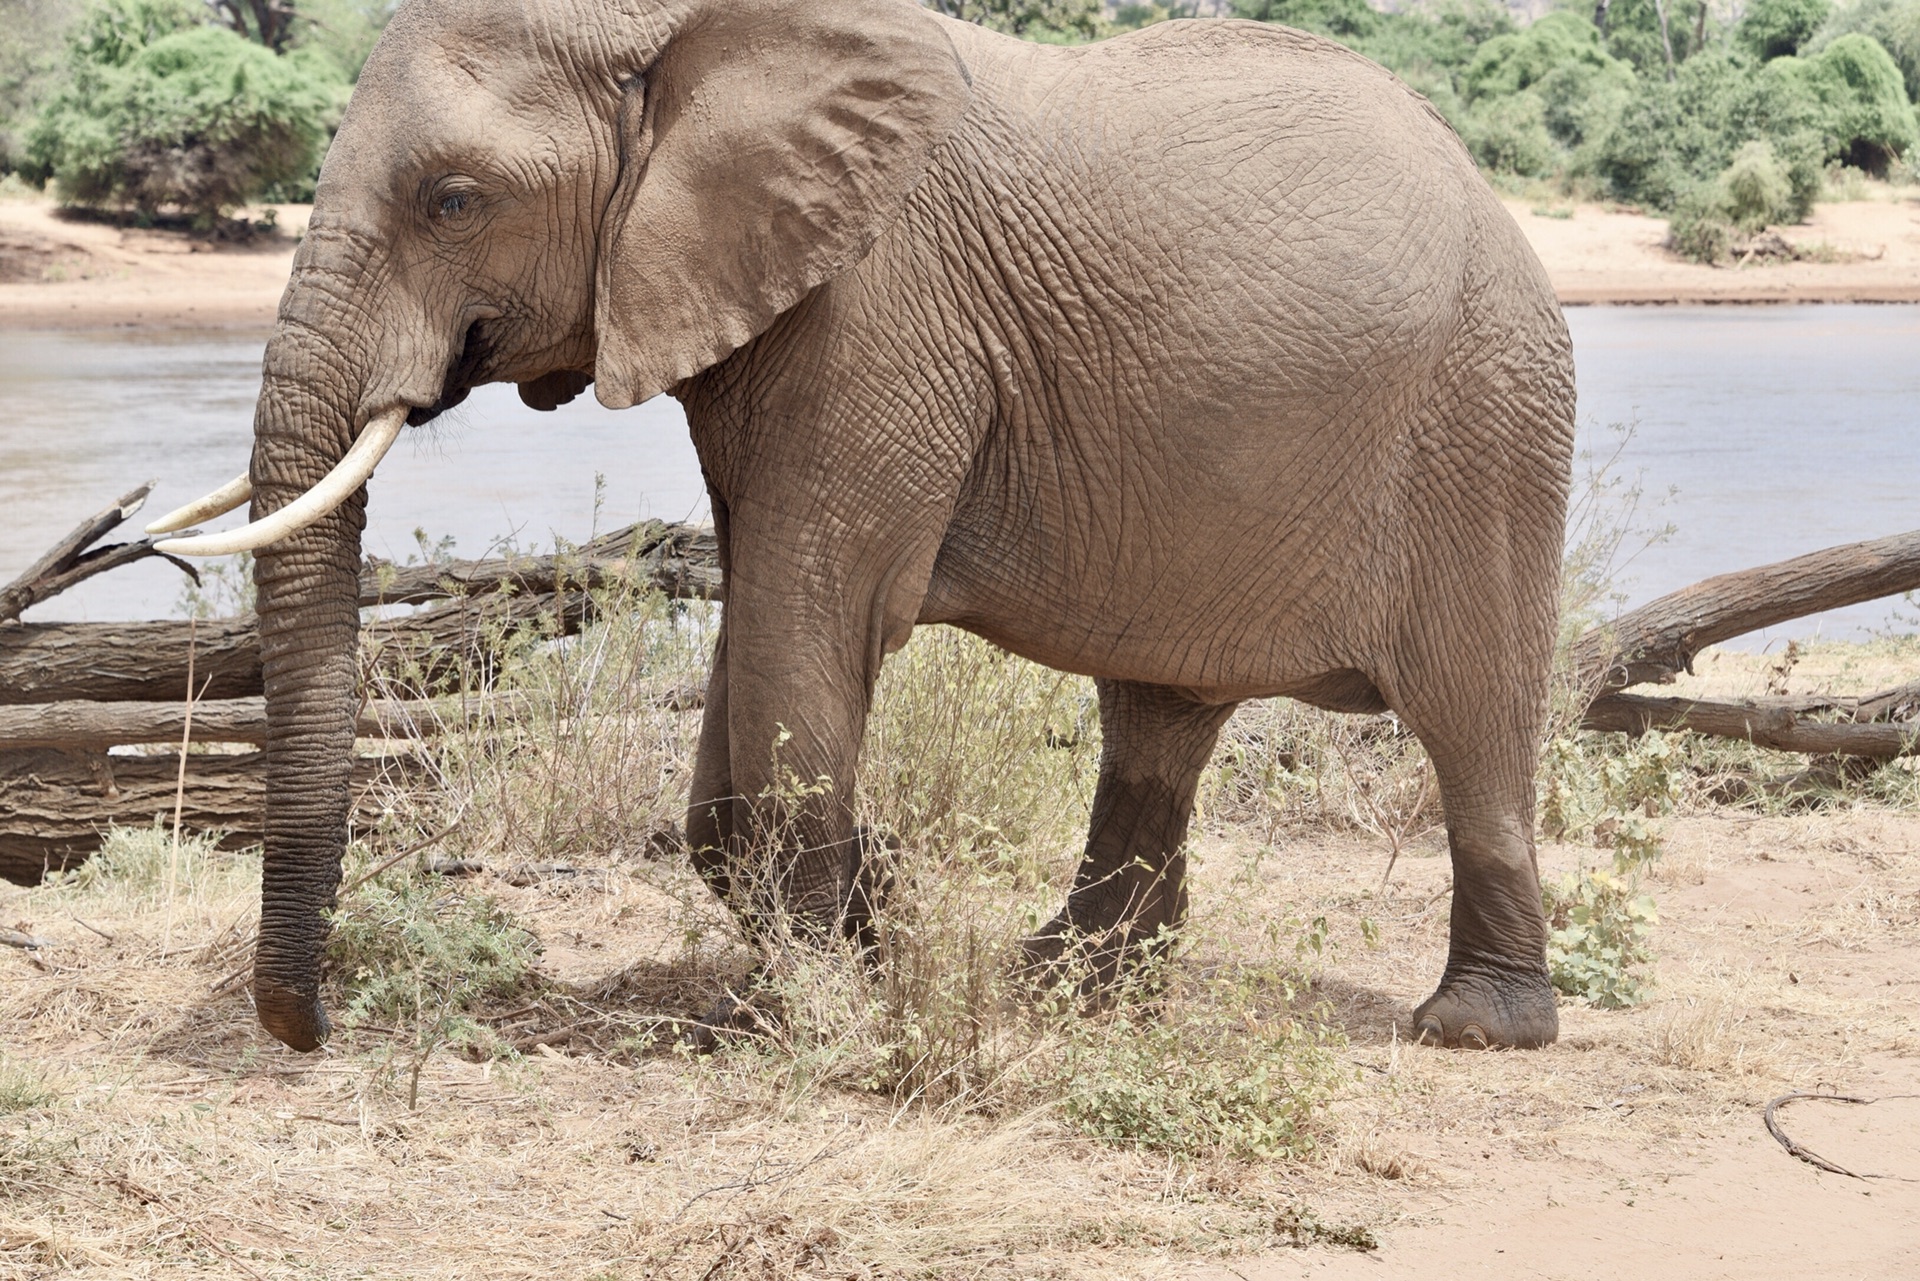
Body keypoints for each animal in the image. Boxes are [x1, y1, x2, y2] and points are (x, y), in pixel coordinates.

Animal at [153, 0, 1574, 1060]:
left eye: (452, 201)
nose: (308, 1029)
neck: (686, 36)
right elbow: (757, 626)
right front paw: (875, 921)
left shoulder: (879, 313)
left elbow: (814, 614)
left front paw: (817, 1000)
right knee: (1158, 717)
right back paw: (1069, 984)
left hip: (1487, 427)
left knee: (1473, 717)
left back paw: (1473, 1029)